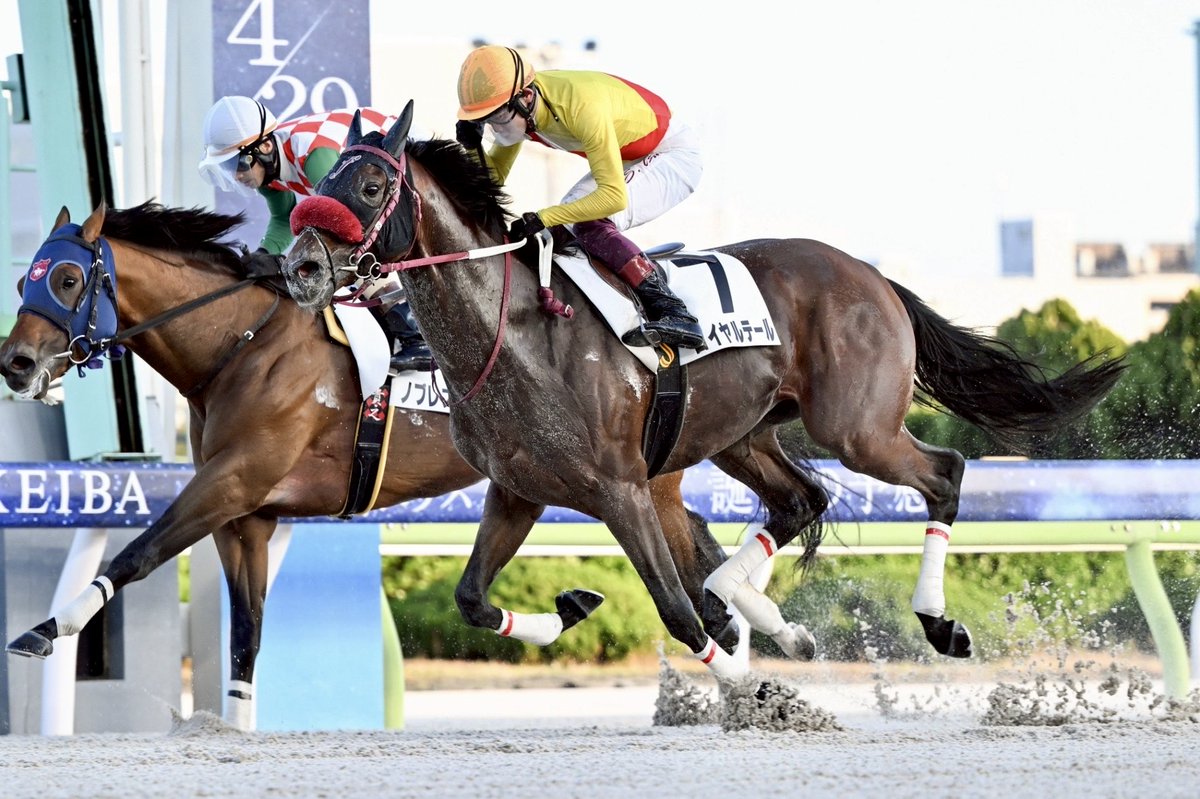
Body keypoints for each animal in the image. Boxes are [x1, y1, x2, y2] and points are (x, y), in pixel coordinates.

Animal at [0, 201, 744, 730]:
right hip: (650, 473)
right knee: (698, 551)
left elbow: (139, 553)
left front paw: (44, 630)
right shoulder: (249, 518)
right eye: (22, 280)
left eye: (66, 278)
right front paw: (235, 724)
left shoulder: (231, 482)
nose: (15, 363)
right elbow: (246, 633)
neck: (241, 345)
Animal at [281, 102, 1126, 680]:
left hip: (859, 430)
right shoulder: (518, 489)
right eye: (320, 178)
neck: (513, 330)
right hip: (744, 433)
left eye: (370, 183)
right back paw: (769, 613)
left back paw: (937, 622)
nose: (302, 267)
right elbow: (470, 598)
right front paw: (571, 609)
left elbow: (676, 611)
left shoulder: (619, 488)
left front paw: (745, 684)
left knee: (943, 473)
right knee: (801, 501)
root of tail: (869, 272)